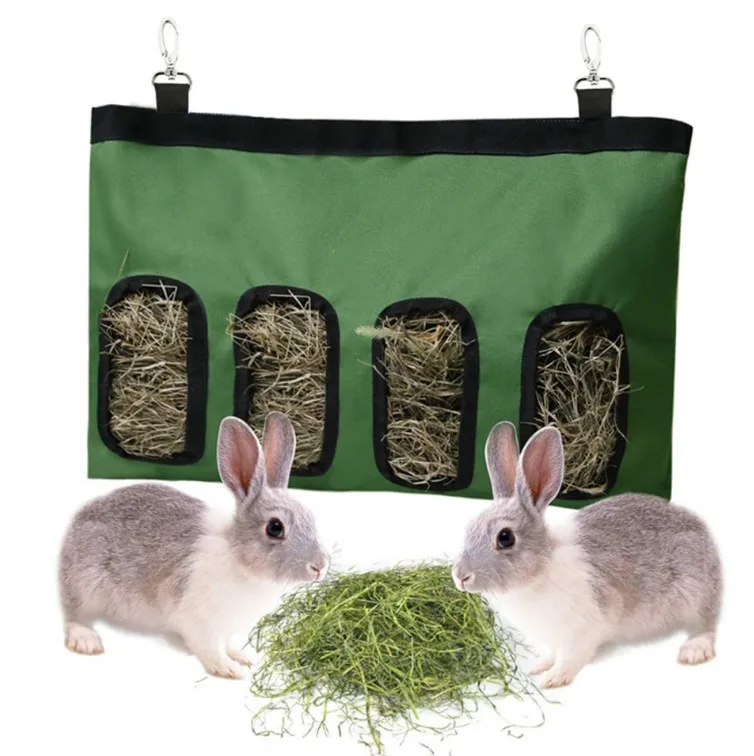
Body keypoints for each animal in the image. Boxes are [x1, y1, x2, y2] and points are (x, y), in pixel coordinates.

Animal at [59, 412, 330, 679]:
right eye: (275, 527)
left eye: (311, 517)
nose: (319, 567)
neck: (240, 558)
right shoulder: (198, 621)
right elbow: (209, 649)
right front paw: (228, 669)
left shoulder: (229, 629)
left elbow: (229, 645)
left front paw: (244, 658)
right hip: (86, 584)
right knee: (73, 616)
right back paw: (86, 640)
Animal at [452, 421, 721, 688]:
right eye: (469, 527)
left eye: (505, 537)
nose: (460, 577)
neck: (540, 571)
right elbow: (552, 654)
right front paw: (539, 667)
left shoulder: (582, 631)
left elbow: (571, 658)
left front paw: (553, 679)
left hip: (695, 594)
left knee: (706, 626)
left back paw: (694, 651)